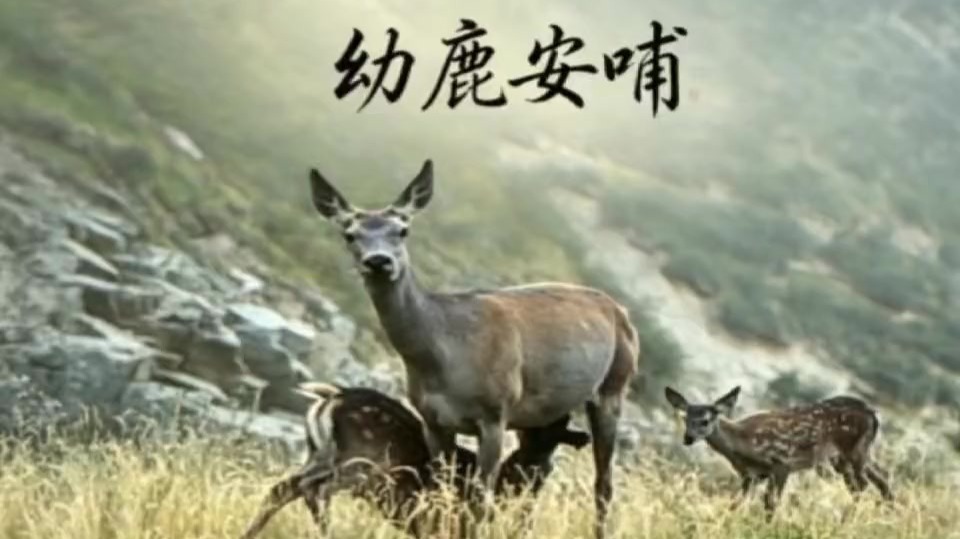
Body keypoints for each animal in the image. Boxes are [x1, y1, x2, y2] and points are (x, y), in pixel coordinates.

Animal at [239, 383, 591, 539]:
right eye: (527, 435)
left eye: (556, 439)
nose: (536, 469)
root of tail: (331, 399)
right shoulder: (449, 522)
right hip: (362, 462)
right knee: (316, 490)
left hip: (319, 455)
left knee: (284, 488)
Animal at [307, 159, 641, 539]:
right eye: (349, 234)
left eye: (403, 229)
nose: (379, 262)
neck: (442, 357)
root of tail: (621, 311)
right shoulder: (433, 420)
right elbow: (441, 490)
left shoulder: (495, 413)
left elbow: (481, 501)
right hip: (542, 413)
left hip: (615, 383)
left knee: (604, 482)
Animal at [664, 385, 895, 517]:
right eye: (685, 418)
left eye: (705, 421)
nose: (688, 438)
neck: (744, 444)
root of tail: (873, 414)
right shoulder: (750, 475)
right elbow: (736, 503)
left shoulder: (782, 463)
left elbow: (770, 504)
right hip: (851, 455)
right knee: (880, 478)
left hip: (851, 450)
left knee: (862, 484)